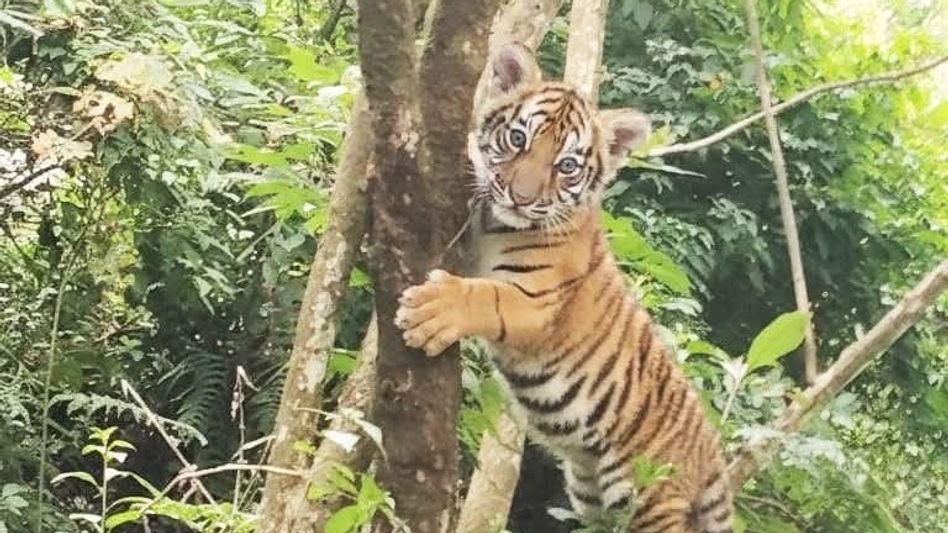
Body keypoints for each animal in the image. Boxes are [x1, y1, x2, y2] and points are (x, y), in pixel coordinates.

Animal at [394, 43, 733, 533]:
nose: (520, 197)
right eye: (518, 139)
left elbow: (484, 296)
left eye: (567, 166)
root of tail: (711, 450)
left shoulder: (535, 302)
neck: (495, 224)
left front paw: (431, 311)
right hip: (593, 497)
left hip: (650, 497)